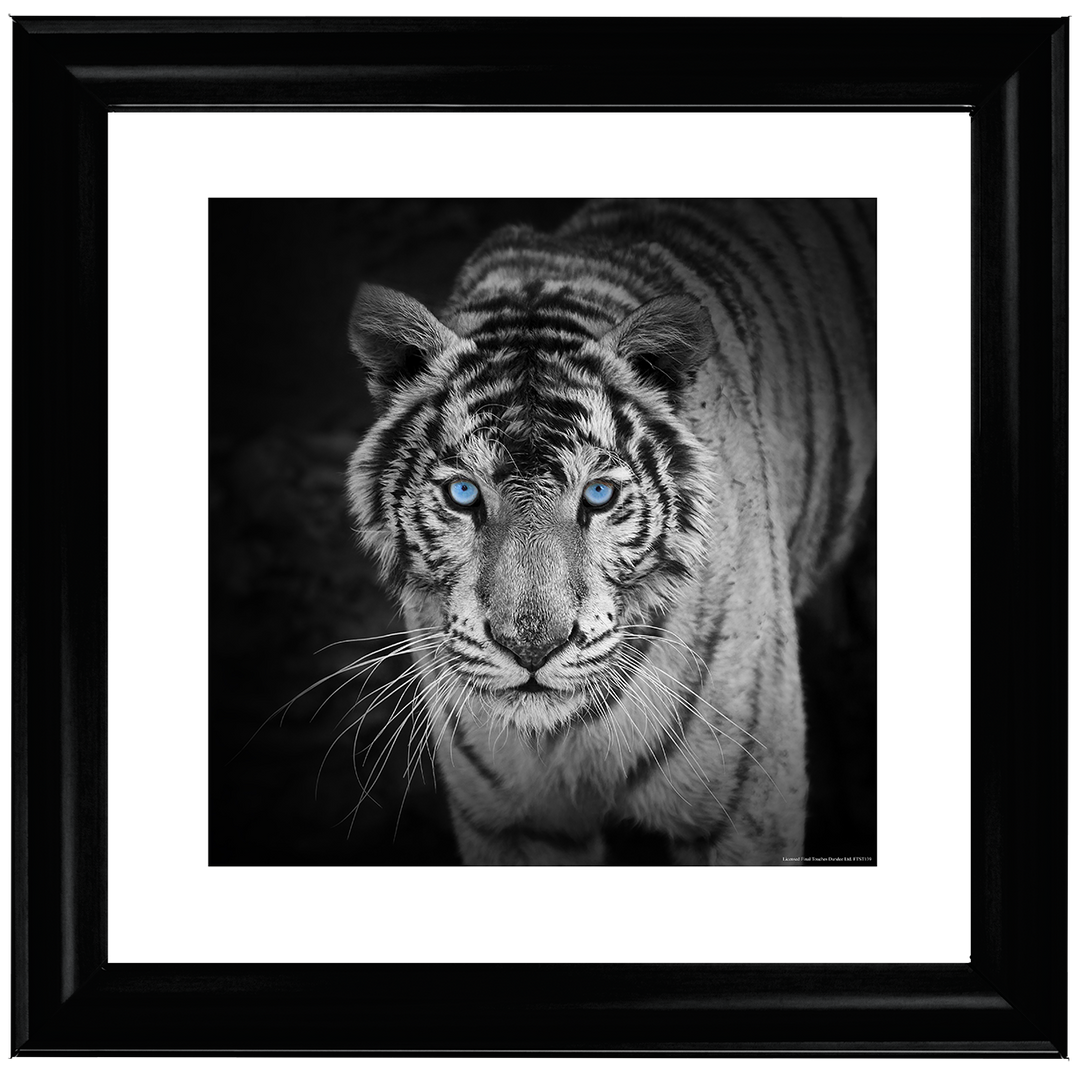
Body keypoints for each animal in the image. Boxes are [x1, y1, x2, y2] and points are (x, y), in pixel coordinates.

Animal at [344, 198, 875, 865]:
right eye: (463, 493)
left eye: (597, 495)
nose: (532, 649)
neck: (564, 735)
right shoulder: (513, 822)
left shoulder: (743, 810)